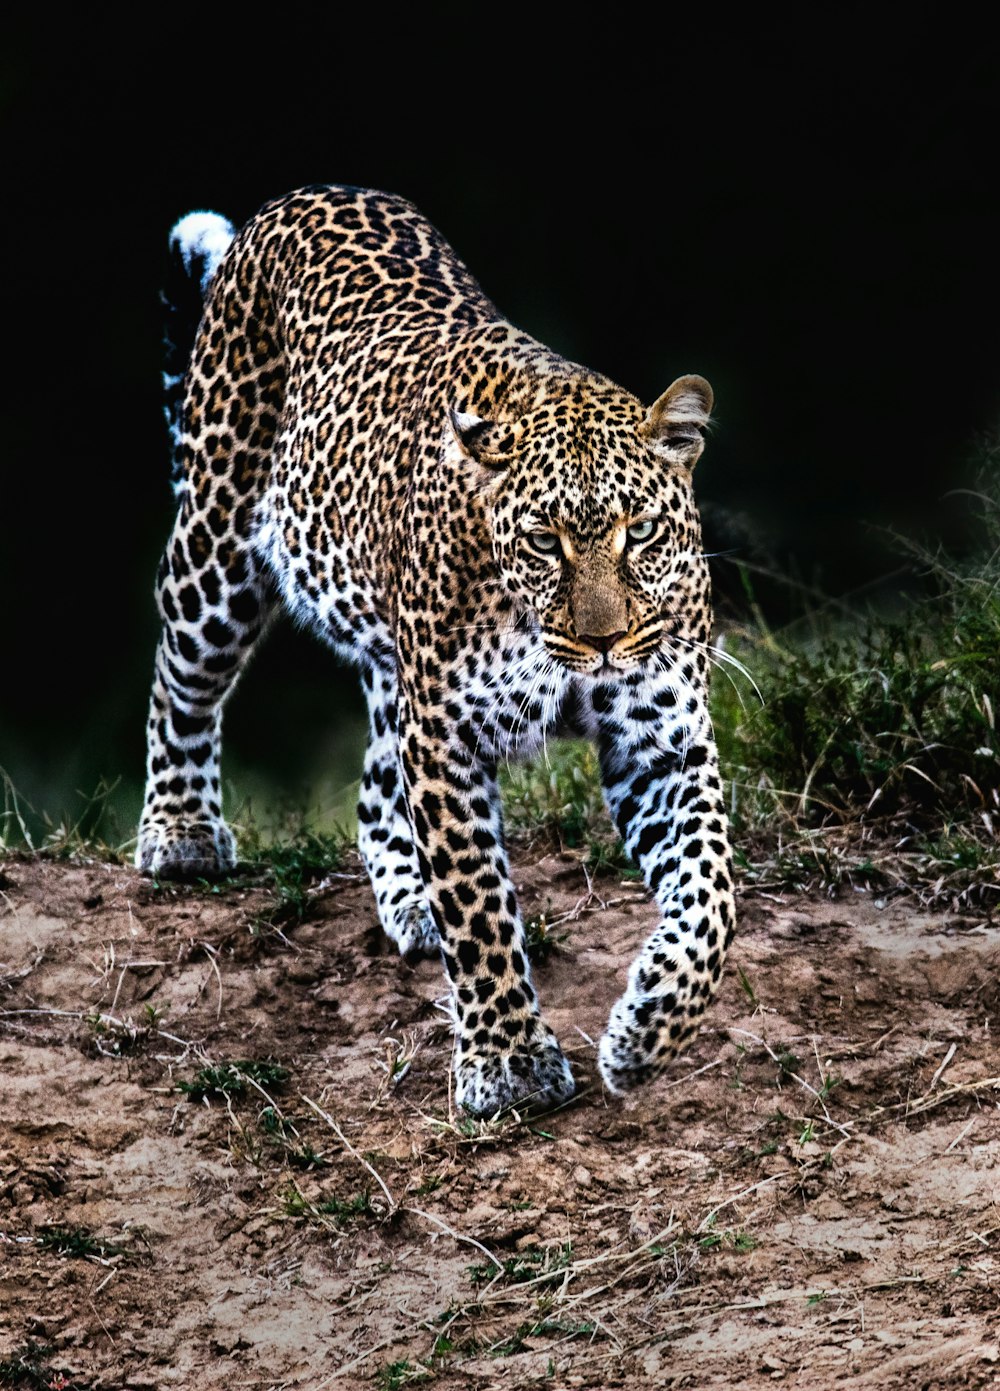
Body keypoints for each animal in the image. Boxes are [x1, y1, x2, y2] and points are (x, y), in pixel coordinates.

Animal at [136, 185, 734, 1118]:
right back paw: (182, 832)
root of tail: (300, 196)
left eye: (640, 532)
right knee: (182, 684)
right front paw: (510, 1063)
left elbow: (712, 893)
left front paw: (647, 1031)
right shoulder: (449, 739)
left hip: (392, 665)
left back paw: (407, 896)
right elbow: (480, 905)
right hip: (217, 551)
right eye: (544, 540)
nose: (603, 641)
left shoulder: (661, 739)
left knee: (376, 785)